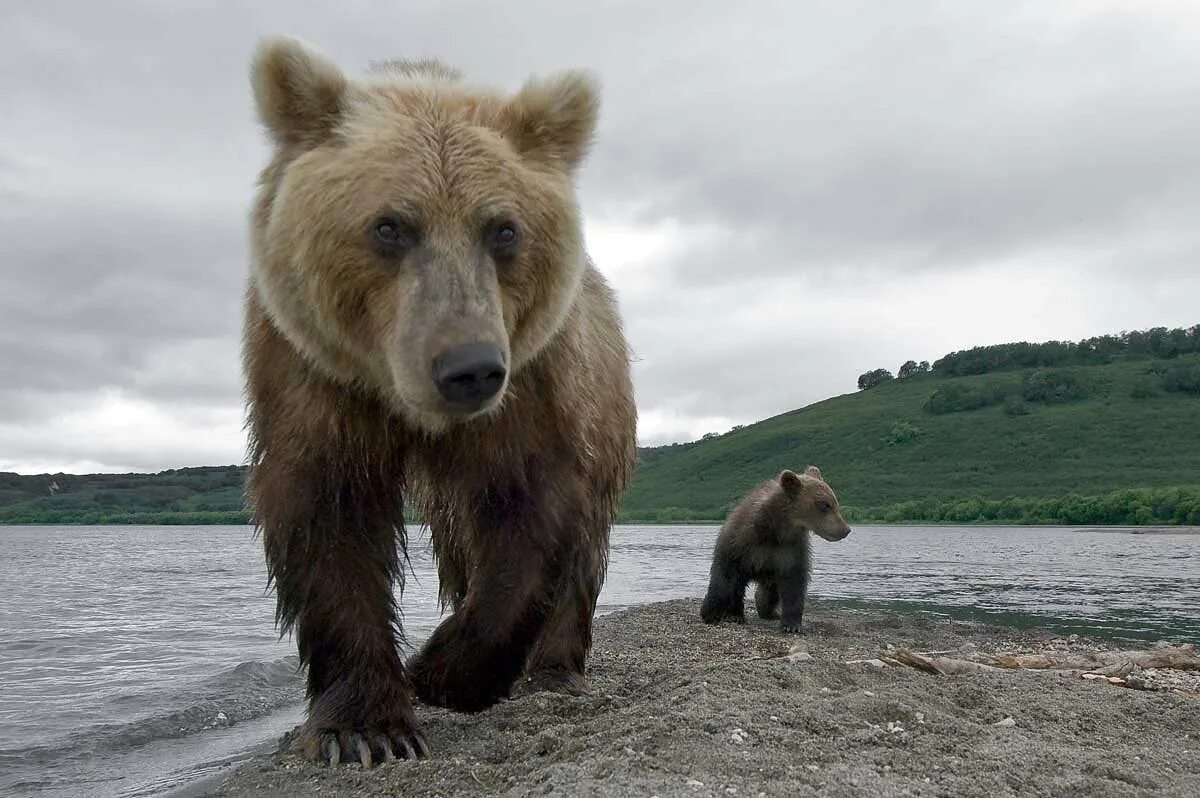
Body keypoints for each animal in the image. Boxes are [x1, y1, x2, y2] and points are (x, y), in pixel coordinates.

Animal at [241, 35, 638, 768]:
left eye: (503, 229)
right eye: (390, 226)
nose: (469, 369)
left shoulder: (535, 387)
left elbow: (532, 514)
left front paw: (443, 672)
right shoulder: (313, 379)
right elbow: (328, 516)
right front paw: (364, 727)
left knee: (583, 547)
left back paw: (553, 669)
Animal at [700, 463, 849, 633]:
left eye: (835, 502)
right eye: (825, 504)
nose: (845, 530)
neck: (775, 530)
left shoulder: (790, 550)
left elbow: (794, 583)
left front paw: (791, 625)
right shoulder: (739, 544)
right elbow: (725, 576)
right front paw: (711, 613)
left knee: (768, 593)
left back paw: (770, 612)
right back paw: (735, 614)